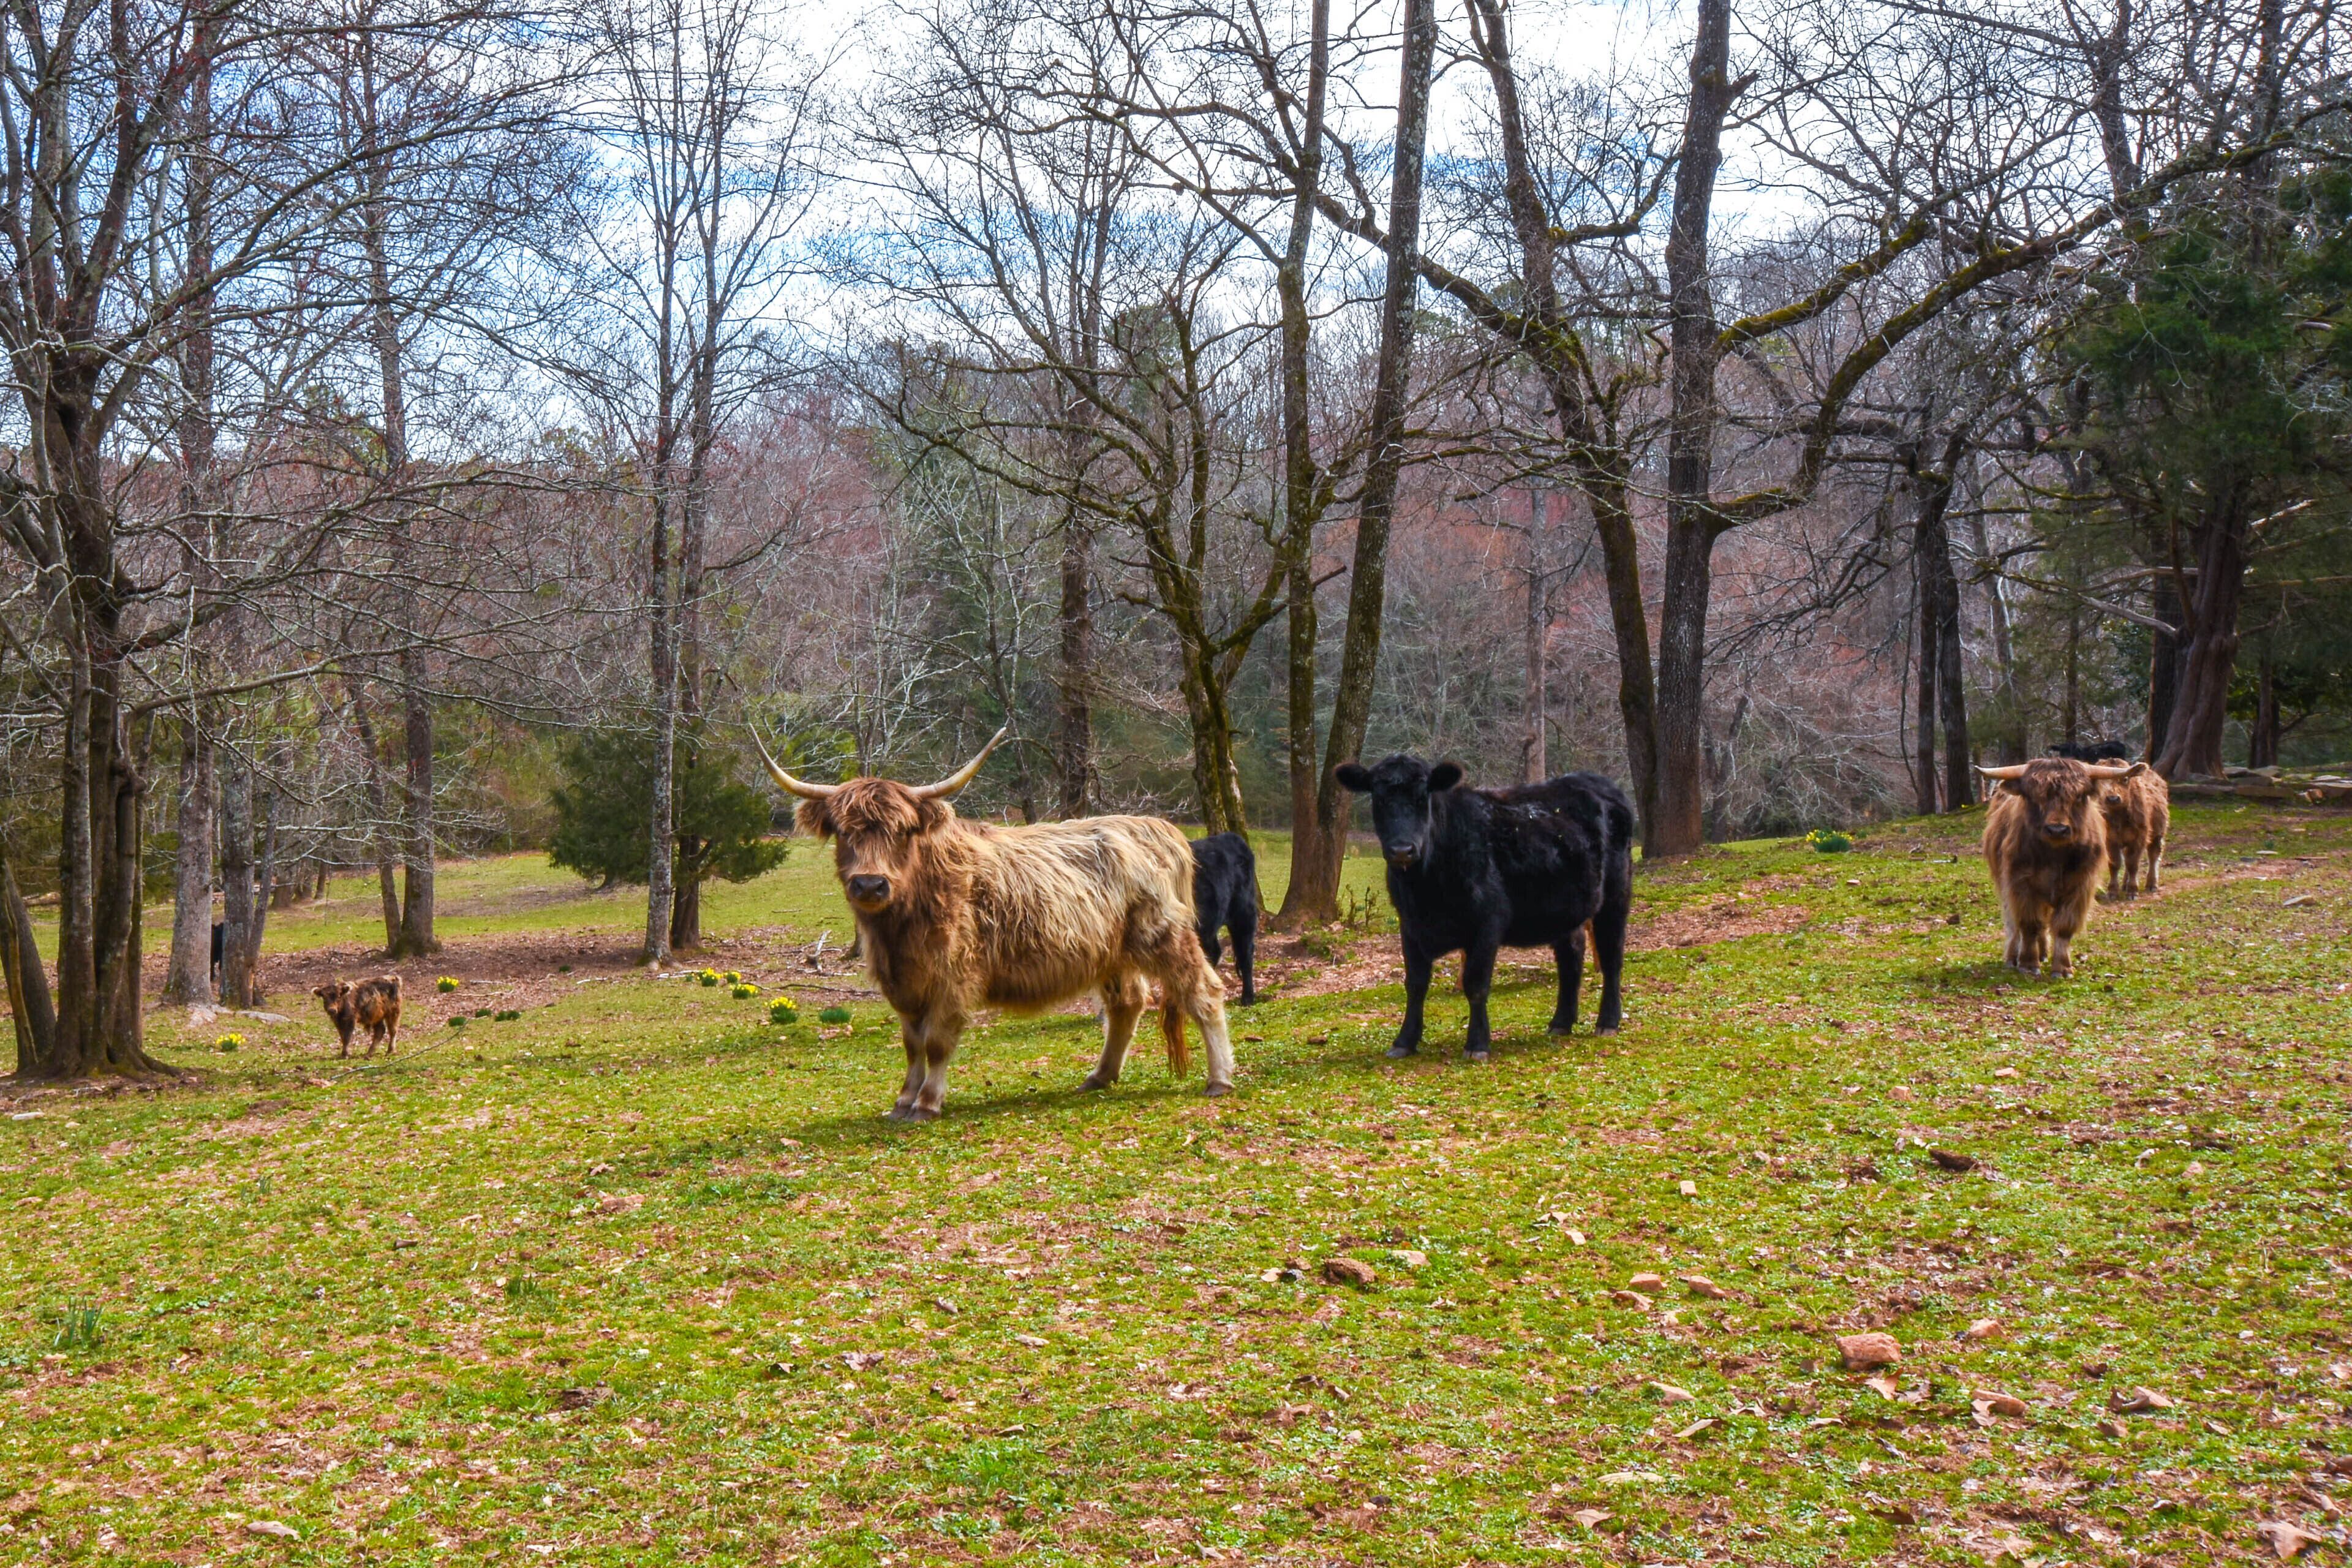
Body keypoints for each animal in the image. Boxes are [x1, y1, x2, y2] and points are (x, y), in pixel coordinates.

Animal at [312, 975, 402, 1058]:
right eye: (324, 997)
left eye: (339, 996)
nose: (332, 1010)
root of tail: (394, 978)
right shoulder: (338, 1022)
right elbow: (342, 1036)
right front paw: (345, 1053)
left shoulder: (351, 1020)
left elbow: (347, 1037)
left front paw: (345, 1055)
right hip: (377, 1017)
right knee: (380, 1031)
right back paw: (369, 1054)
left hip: (393, 1013)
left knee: (393, 1031)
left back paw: (390, 1051)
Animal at [757, 729, 1236, 1121]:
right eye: (843, 831)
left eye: (904, 831)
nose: (870, 884)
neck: (899, 930)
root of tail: (1153, 827)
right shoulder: (905, 985)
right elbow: (912, 1044)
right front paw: (903, 1101)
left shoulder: (954, 979)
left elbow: (936, 1042)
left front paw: (927, 1103)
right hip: (1114, 953)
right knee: (1127, 1004)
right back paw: (1100, 1076)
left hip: (1165, 936)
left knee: (1204, 992)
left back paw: (1219, 1079)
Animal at [1335, 755, 1634, 1061]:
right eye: (1380, 799)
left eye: (1422, 798)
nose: (1401, 850)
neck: (1425, 891)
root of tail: (1596, 781)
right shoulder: (1410, 926)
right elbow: (1416, 985)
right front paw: (1405, 1041)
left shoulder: (1488, 923)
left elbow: (1476, 984)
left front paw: (1477, 1044)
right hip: (1564, 909)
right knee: (1571, 957)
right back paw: (1561, 1022)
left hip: (1616, 894)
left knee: (1612, 956)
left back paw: (1608, 1022)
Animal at [1976, 757, 2146, 977]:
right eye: (2034, 797)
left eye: (2079, 796)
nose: (2057, 829)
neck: (2054, 857)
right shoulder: (2021, 885)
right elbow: (2030, 925)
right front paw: (2028, 964)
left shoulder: (2080, 887)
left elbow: (2064, 926)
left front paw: (2062, 967)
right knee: (2013, 924)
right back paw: (2014, 957)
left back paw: (2043, 953)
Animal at [2098, 766, 2170, 901]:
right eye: (2102, 780)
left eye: (2125, 779)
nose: (2113, 798)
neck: (2119, 817)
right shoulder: (2110, 840)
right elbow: (2115, 864)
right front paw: (2112, 892)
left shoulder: (2139, 839)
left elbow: (2133, 864)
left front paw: (2132, 892)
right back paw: (2125, 885)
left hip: (2157, 834)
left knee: (2154, 855)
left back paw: (2152, 885)